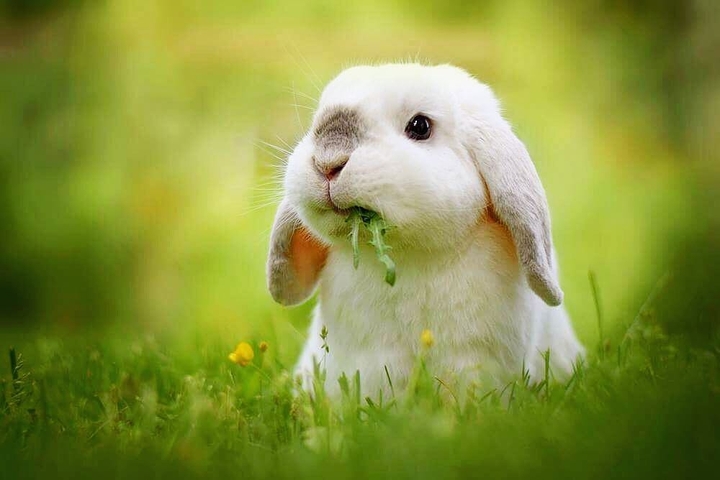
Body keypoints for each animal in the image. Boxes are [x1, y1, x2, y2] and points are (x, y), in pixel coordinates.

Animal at [266, 63, 584, 398]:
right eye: (318, 116)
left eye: (420, 126)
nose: (327, 161)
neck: (407, 257)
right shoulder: (370, 360)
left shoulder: (472, 358)